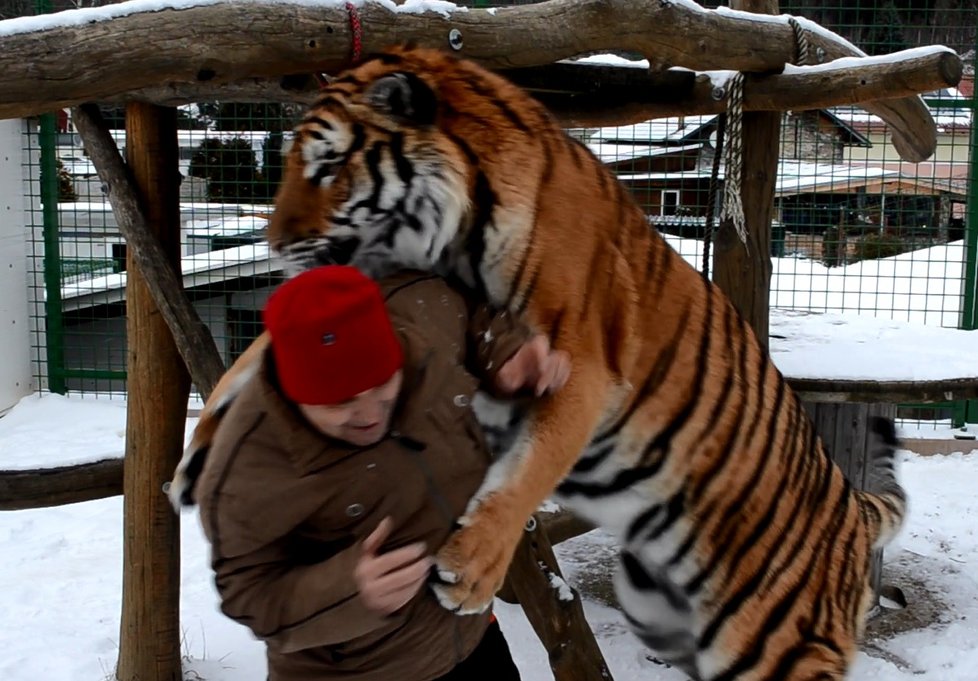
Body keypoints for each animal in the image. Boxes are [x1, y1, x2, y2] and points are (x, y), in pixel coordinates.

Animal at [170, 46, 908, 680]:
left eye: (326, 168)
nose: (274, 243)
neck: (456, 231)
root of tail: (853, 510)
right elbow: (256, 355)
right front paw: (196, 455)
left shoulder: (581, 367)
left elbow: (529, 466)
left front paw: (470, 572)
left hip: (777, 647)